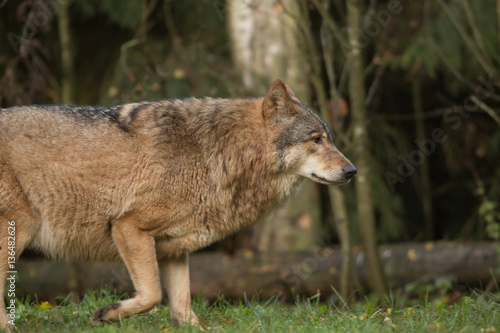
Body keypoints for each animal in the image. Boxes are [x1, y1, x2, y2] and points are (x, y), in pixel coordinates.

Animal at [0, 80, 356, 326]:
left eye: (329, 139)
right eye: (316, 140)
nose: (352, 171)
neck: (217, 154)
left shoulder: (172, 249)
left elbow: (183, 306)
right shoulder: (129, 227)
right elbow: (152, 295)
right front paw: (109, 313)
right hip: (17, 231)